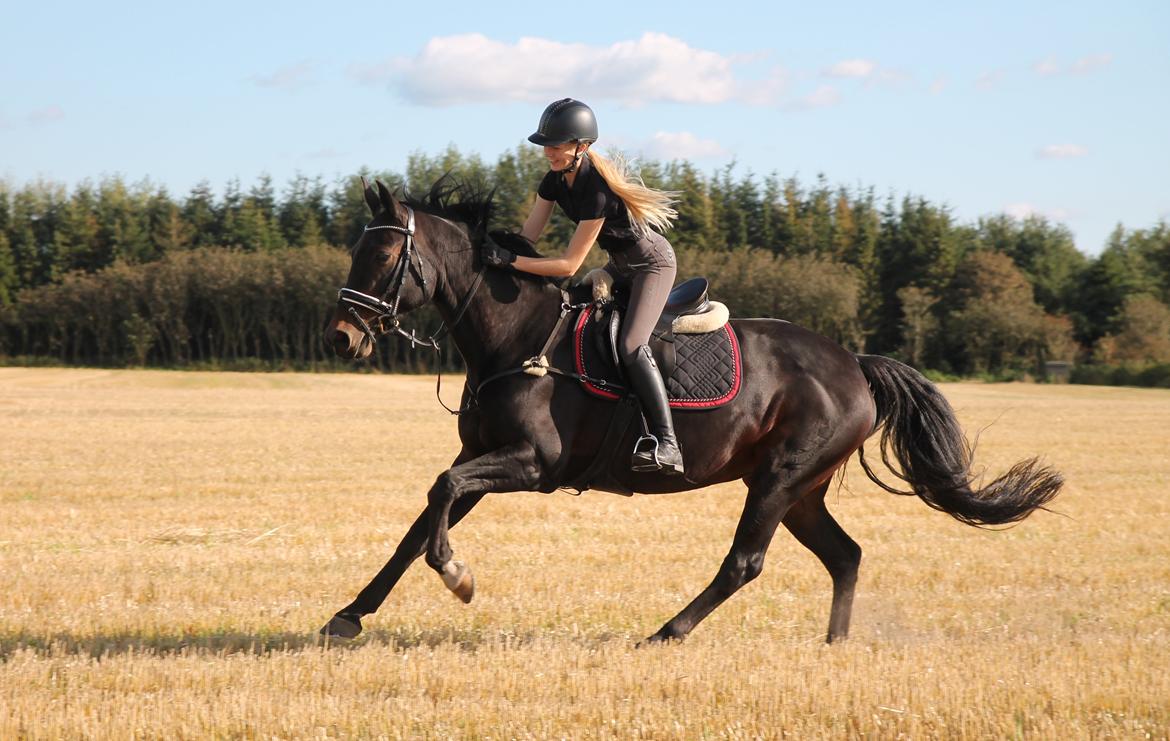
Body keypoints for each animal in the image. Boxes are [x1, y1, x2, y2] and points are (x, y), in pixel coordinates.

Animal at [318, 179, 1062, 641]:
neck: (517, 336)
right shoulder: (482, 456)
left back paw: (666, 632)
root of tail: (854, 365)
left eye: (384, 254)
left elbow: (439, 499)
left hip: (780, 480)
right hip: (801, 489)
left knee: (745, 562)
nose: (342, 337)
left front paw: (459, 576)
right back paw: (835, 645)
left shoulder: (532, 464)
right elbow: (421, 520)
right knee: (844, 555)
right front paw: (350, 614)